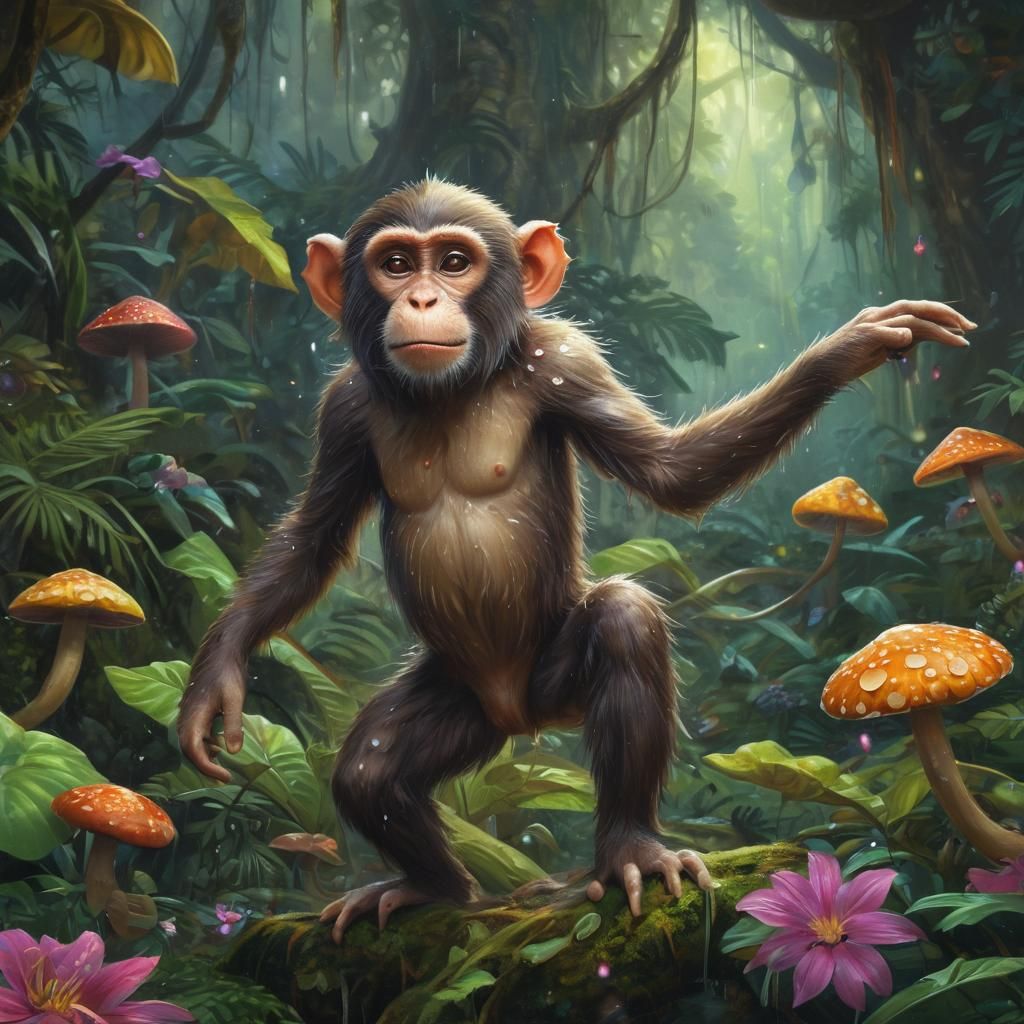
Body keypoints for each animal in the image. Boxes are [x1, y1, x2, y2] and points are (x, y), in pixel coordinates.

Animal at [177, 179, 973, 942]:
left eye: (455, 262)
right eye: (396, 263)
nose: (422, 298)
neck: (454, 389)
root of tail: (521, 715)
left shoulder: (563, 362)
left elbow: (669, 471)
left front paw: (850, 349)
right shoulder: (343, 408)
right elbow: (313, 539)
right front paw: (213, 686)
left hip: (551, 679)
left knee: (623, 621)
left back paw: (629, 851)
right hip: (460, 704)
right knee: (369, 773)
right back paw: (432, 888)